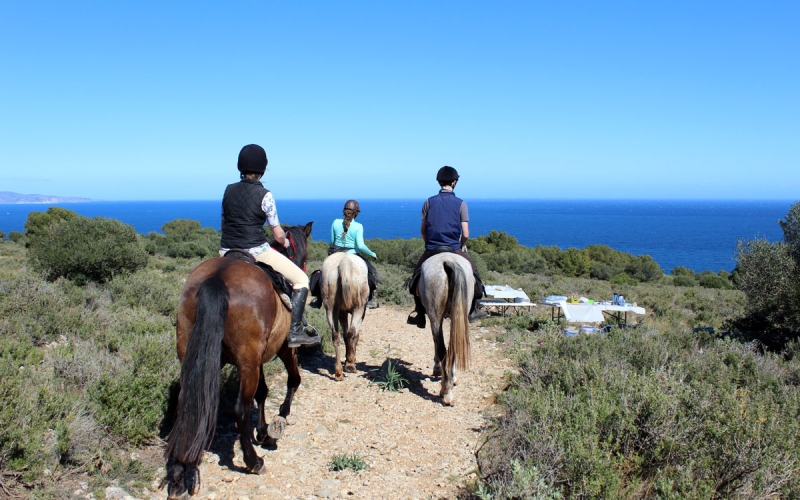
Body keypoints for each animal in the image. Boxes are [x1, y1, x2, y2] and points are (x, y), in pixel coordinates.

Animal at [164, 222, 312, 500]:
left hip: (200, 354)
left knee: (186, 404)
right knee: (240, 410)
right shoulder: (284, 349)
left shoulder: (257, 359)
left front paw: (263, 431)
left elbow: (262, 392)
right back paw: (254, 462)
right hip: (248, 362)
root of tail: (217, 278)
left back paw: (179, 475)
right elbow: (293, 380)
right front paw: (278, 422)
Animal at [321, 252, 370, 381]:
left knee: (336, 336)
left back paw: (338, 372)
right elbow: (354, 335)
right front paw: (350, 360)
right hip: (359, 308)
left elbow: (344, 334)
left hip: (330, 309)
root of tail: (344, 261)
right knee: (351, 333)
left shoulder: (342, 313)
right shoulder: (360, 312)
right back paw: (351, 365)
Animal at [418, 252, 474, 405]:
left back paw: (445, 390)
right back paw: (448, 387)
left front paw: (437, 369)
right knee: (451, 349)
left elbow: (436, 344)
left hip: (434, 315)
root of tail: (448, 261)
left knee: (443, 348)